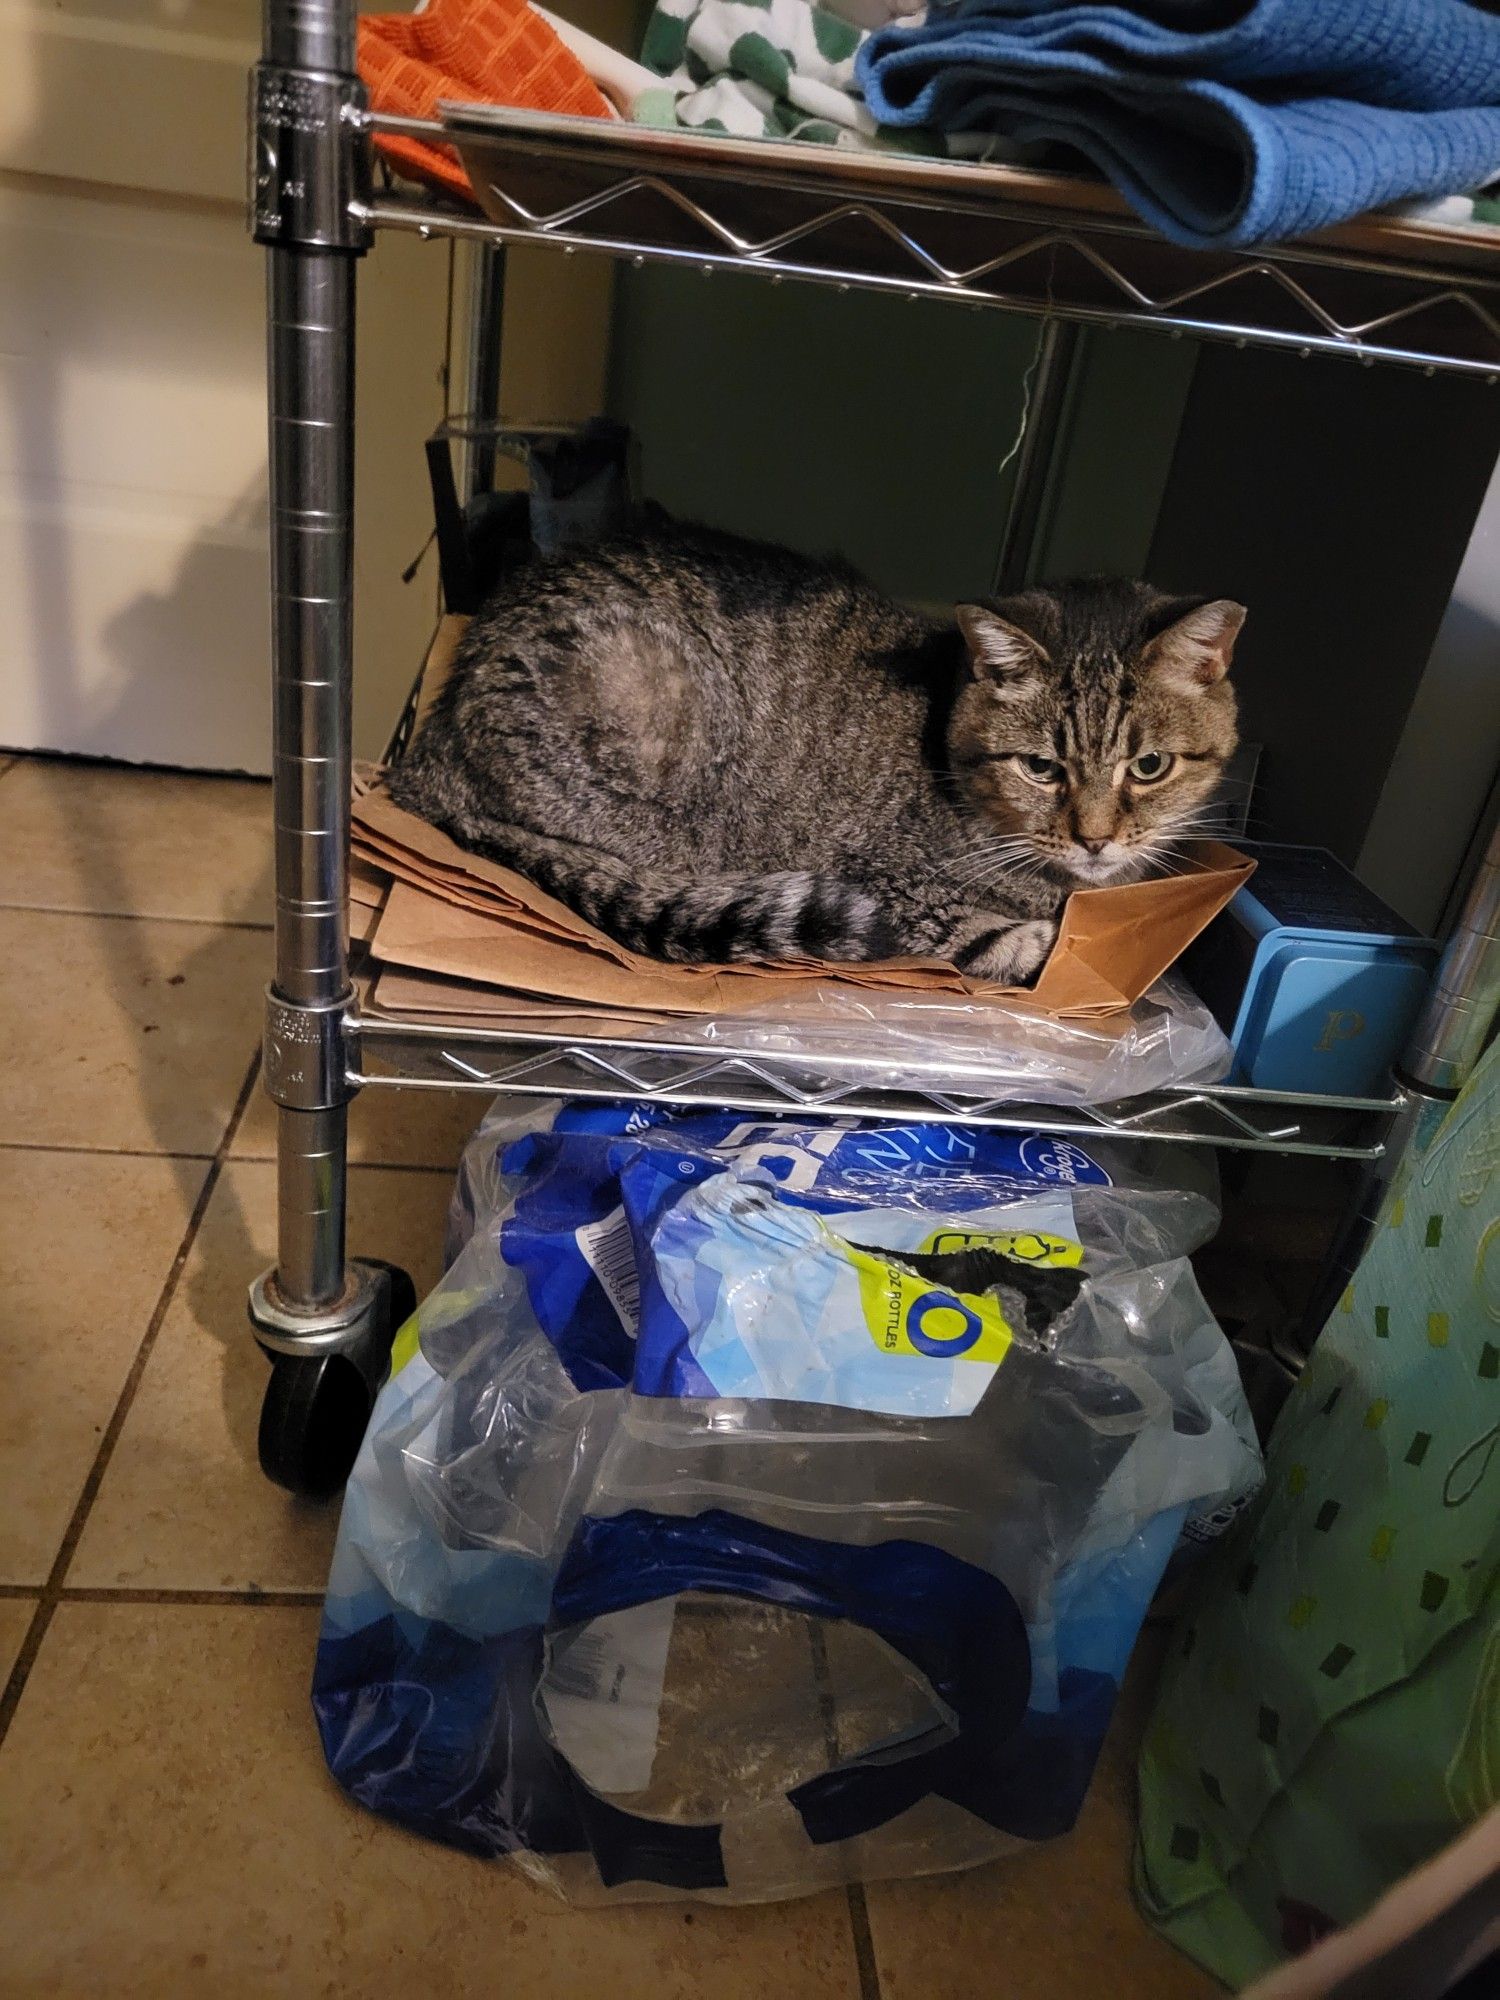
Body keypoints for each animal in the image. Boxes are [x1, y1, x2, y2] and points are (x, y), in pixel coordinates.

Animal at [390, 520, 1248, 980]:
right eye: (1041, 768)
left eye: (1149, 766)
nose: (1096, 840)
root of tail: (425, 762)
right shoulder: (897, 891)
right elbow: (1002, 942)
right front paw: (1052, 940)